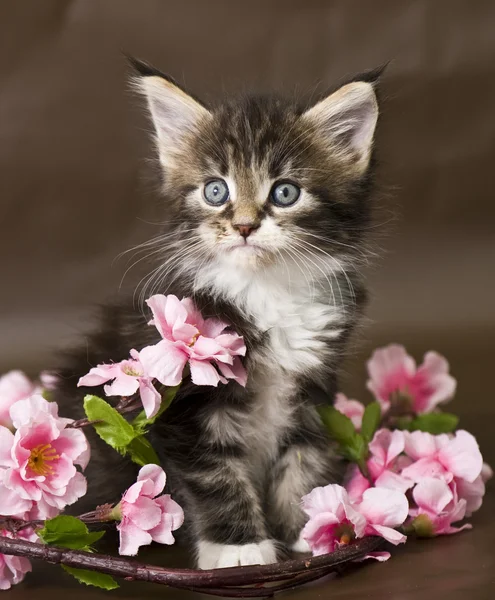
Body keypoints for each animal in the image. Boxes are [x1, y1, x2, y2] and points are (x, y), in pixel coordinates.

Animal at [52, 58, 382, 568]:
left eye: (285, 193)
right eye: (215, 191)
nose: (244, 225)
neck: (266, 290)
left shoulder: (313, 389)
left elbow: (304, 459)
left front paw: (313, 527)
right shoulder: (183, 404)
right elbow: (216, 475)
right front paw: (239, 548)